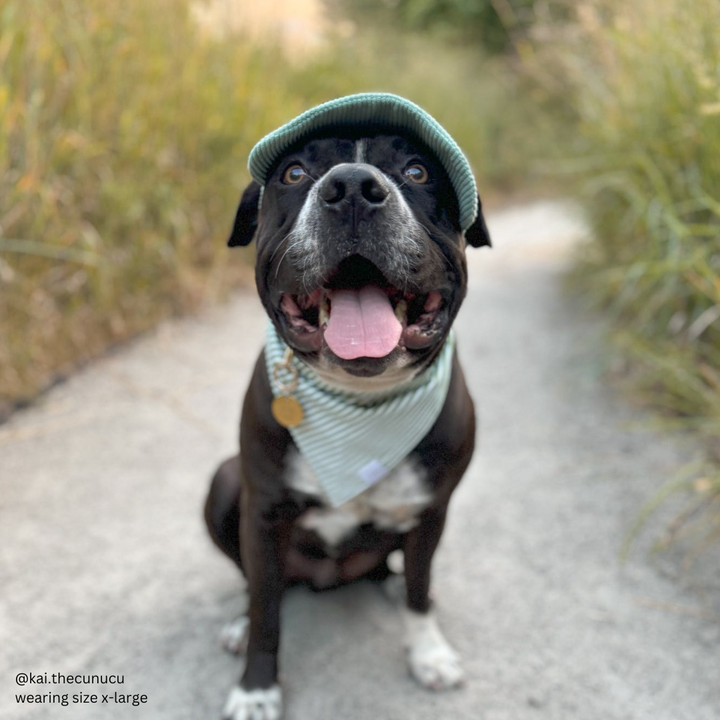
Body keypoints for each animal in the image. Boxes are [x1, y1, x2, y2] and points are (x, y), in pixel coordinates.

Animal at [205, 126, 492, 716]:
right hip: (224, 484)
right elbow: (266, 610)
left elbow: (420, 590)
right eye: (293, 173)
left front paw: (428, 652)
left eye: (418, 171)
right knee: (257, 586)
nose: (354, 186)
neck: (360, 402)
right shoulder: (262, 515)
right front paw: (256, 688)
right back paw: (241, 623)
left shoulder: (432, 512)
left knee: (401, 572)